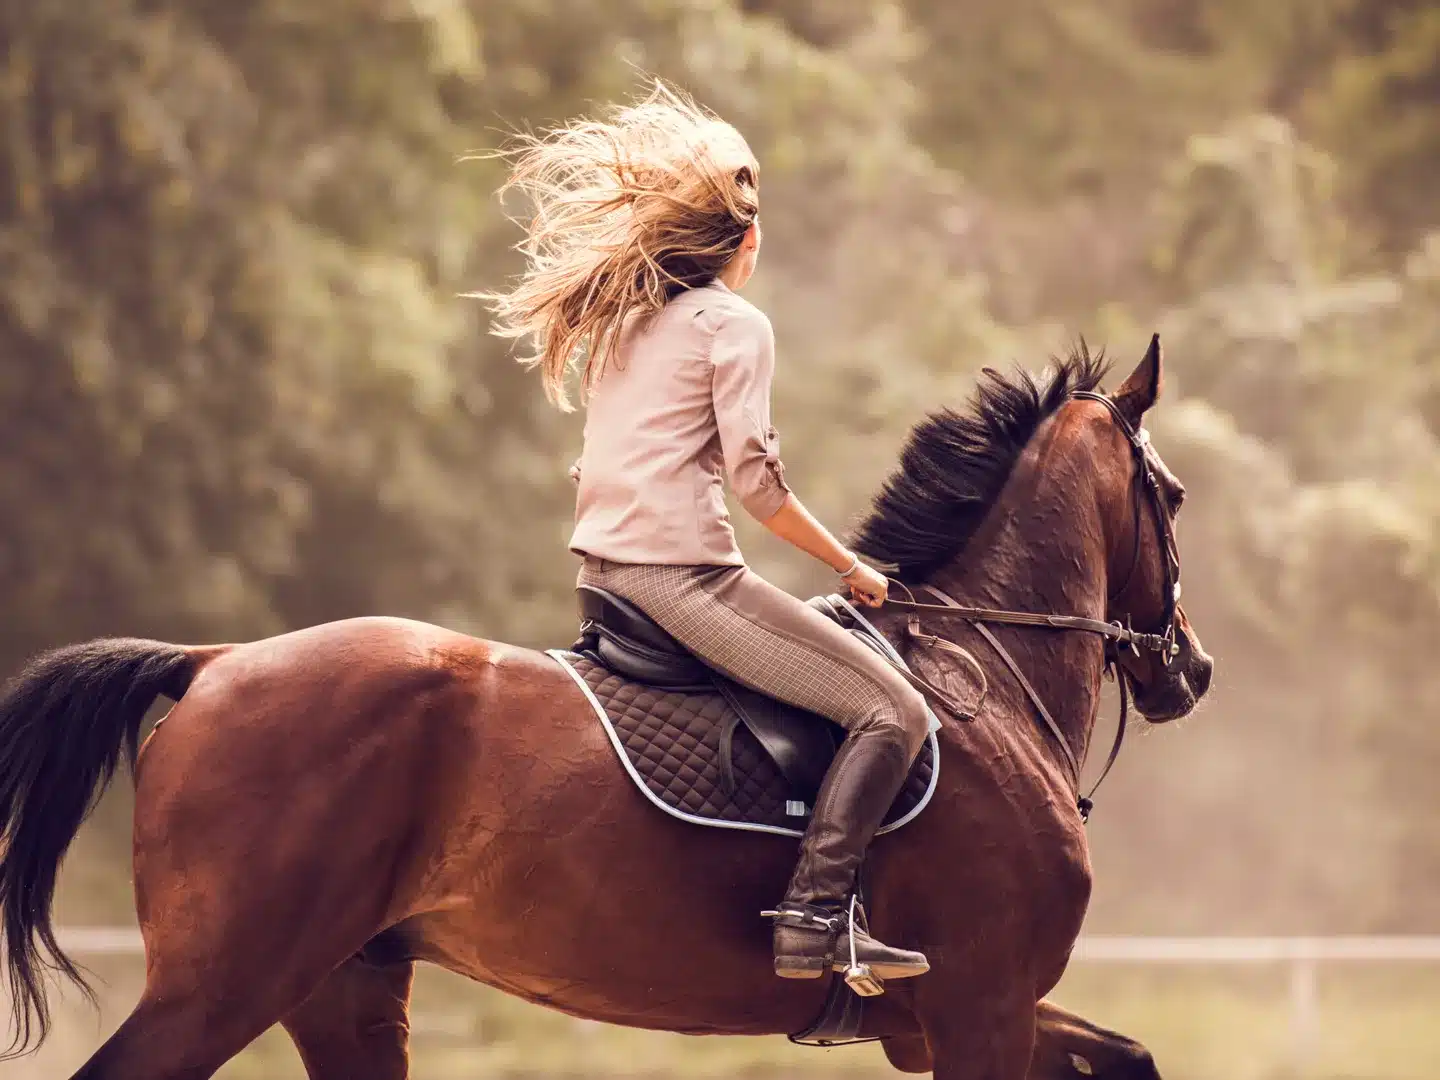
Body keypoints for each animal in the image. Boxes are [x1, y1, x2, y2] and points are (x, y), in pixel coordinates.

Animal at [0, 336, 1212, 1079]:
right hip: (228, 983)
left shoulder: (950, 1018)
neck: (982, 672)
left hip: (345, 986)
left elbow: (1134, 1057)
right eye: (1175, 495)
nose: (1189, 670)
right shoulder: (979, 1006)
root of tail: (213, 663)